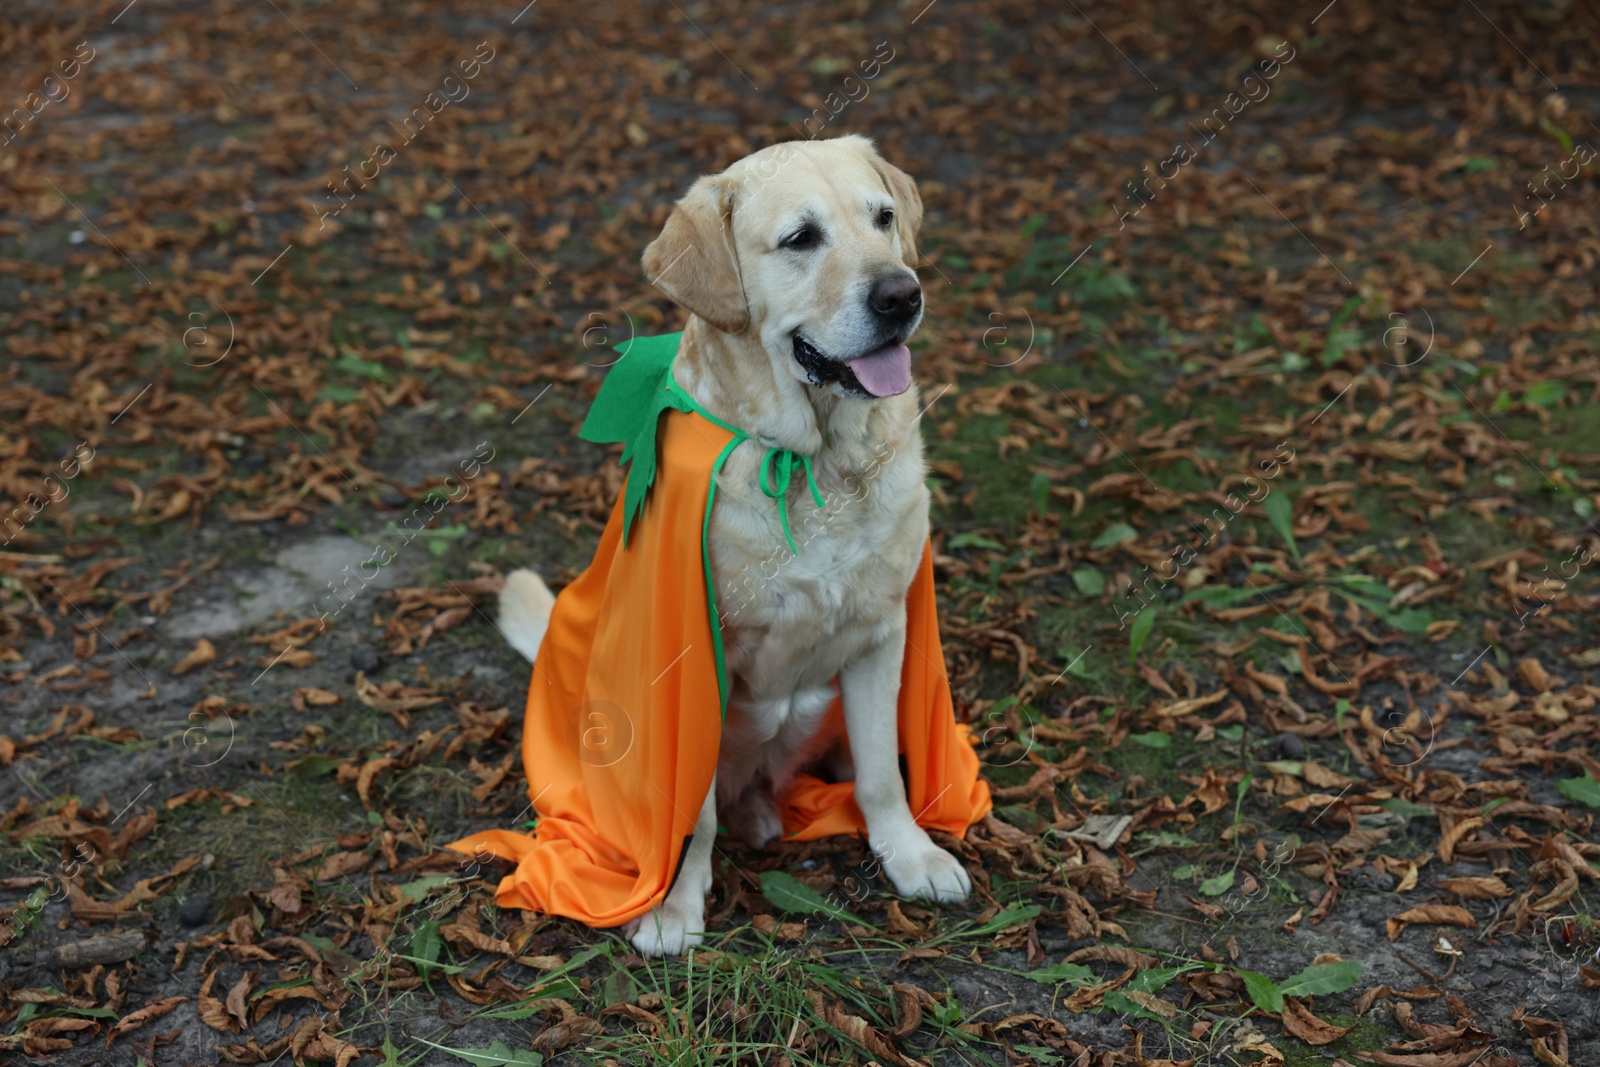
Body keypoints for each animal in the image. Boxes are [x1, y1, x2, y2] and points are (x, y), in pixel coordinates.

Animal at [499, 135, 972, 959]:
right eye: (801, 238)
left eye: (883, 218)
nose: (901, 296)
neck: (815, 461)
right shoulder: (698, 661)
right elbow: (693, 813)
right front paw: (674, 905)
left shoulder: (882, 631)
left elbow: (882, 771)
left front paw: (910, 855)